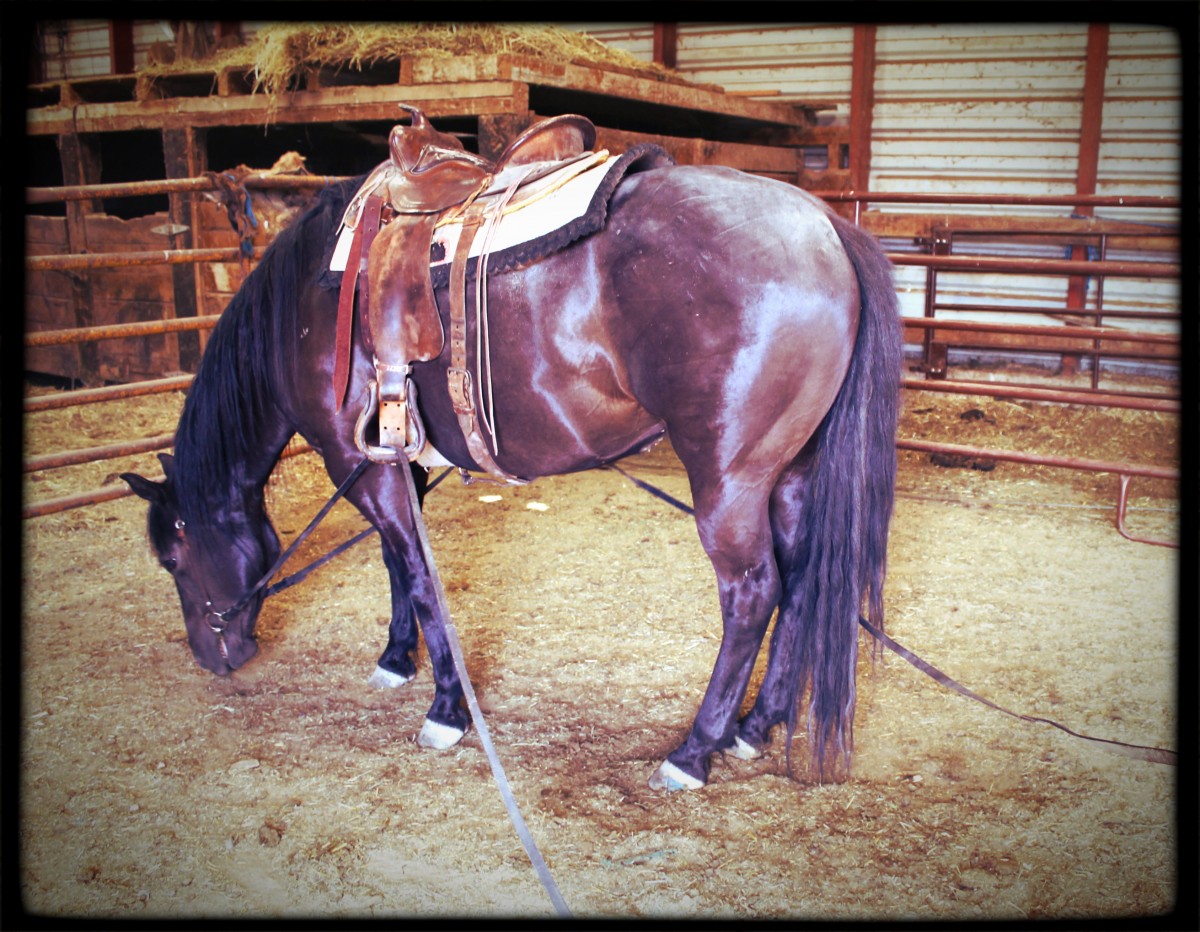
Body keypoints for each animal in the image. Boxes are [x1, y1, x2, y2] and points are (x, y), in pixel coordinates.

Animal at [126, 145, 902, 786]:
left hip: (729, 482)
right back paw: (756, 726)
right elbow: (397, 564)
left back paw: (693, 752)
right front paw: (395, 660)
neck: (301, 308)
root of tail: (827, 228)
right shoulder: (397, 462)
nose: (213, 656)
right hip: (789, 473)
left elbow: (419, 576)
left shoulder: (358, 462)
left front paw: (445, 709)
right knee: (799, 580)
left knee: (752, 593)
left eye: (172, 558)